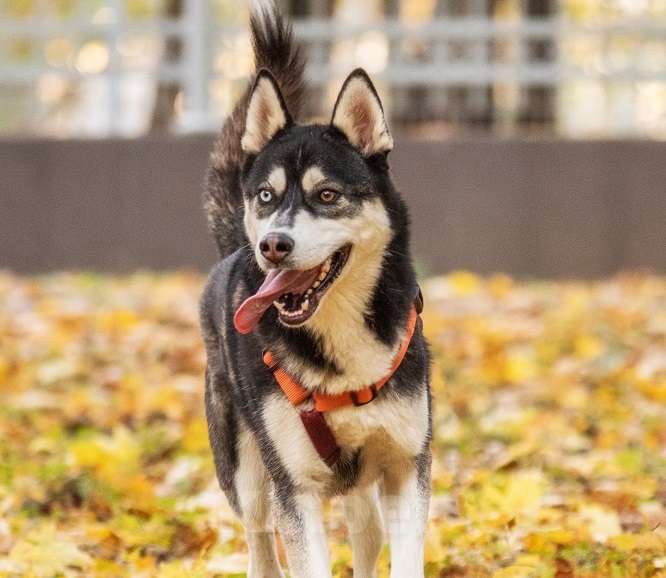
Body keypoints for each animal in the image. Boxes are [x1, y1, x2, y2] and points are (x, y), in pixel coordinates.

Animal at [198, 5, 430, 576]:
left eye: (327, 195)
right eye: (266, 195)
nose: (272, 245)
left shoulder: (406, 466)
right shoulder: (294, 488)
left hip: (362, 487)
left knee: (368, 536)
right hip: (246, 469)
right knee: (260, 540)